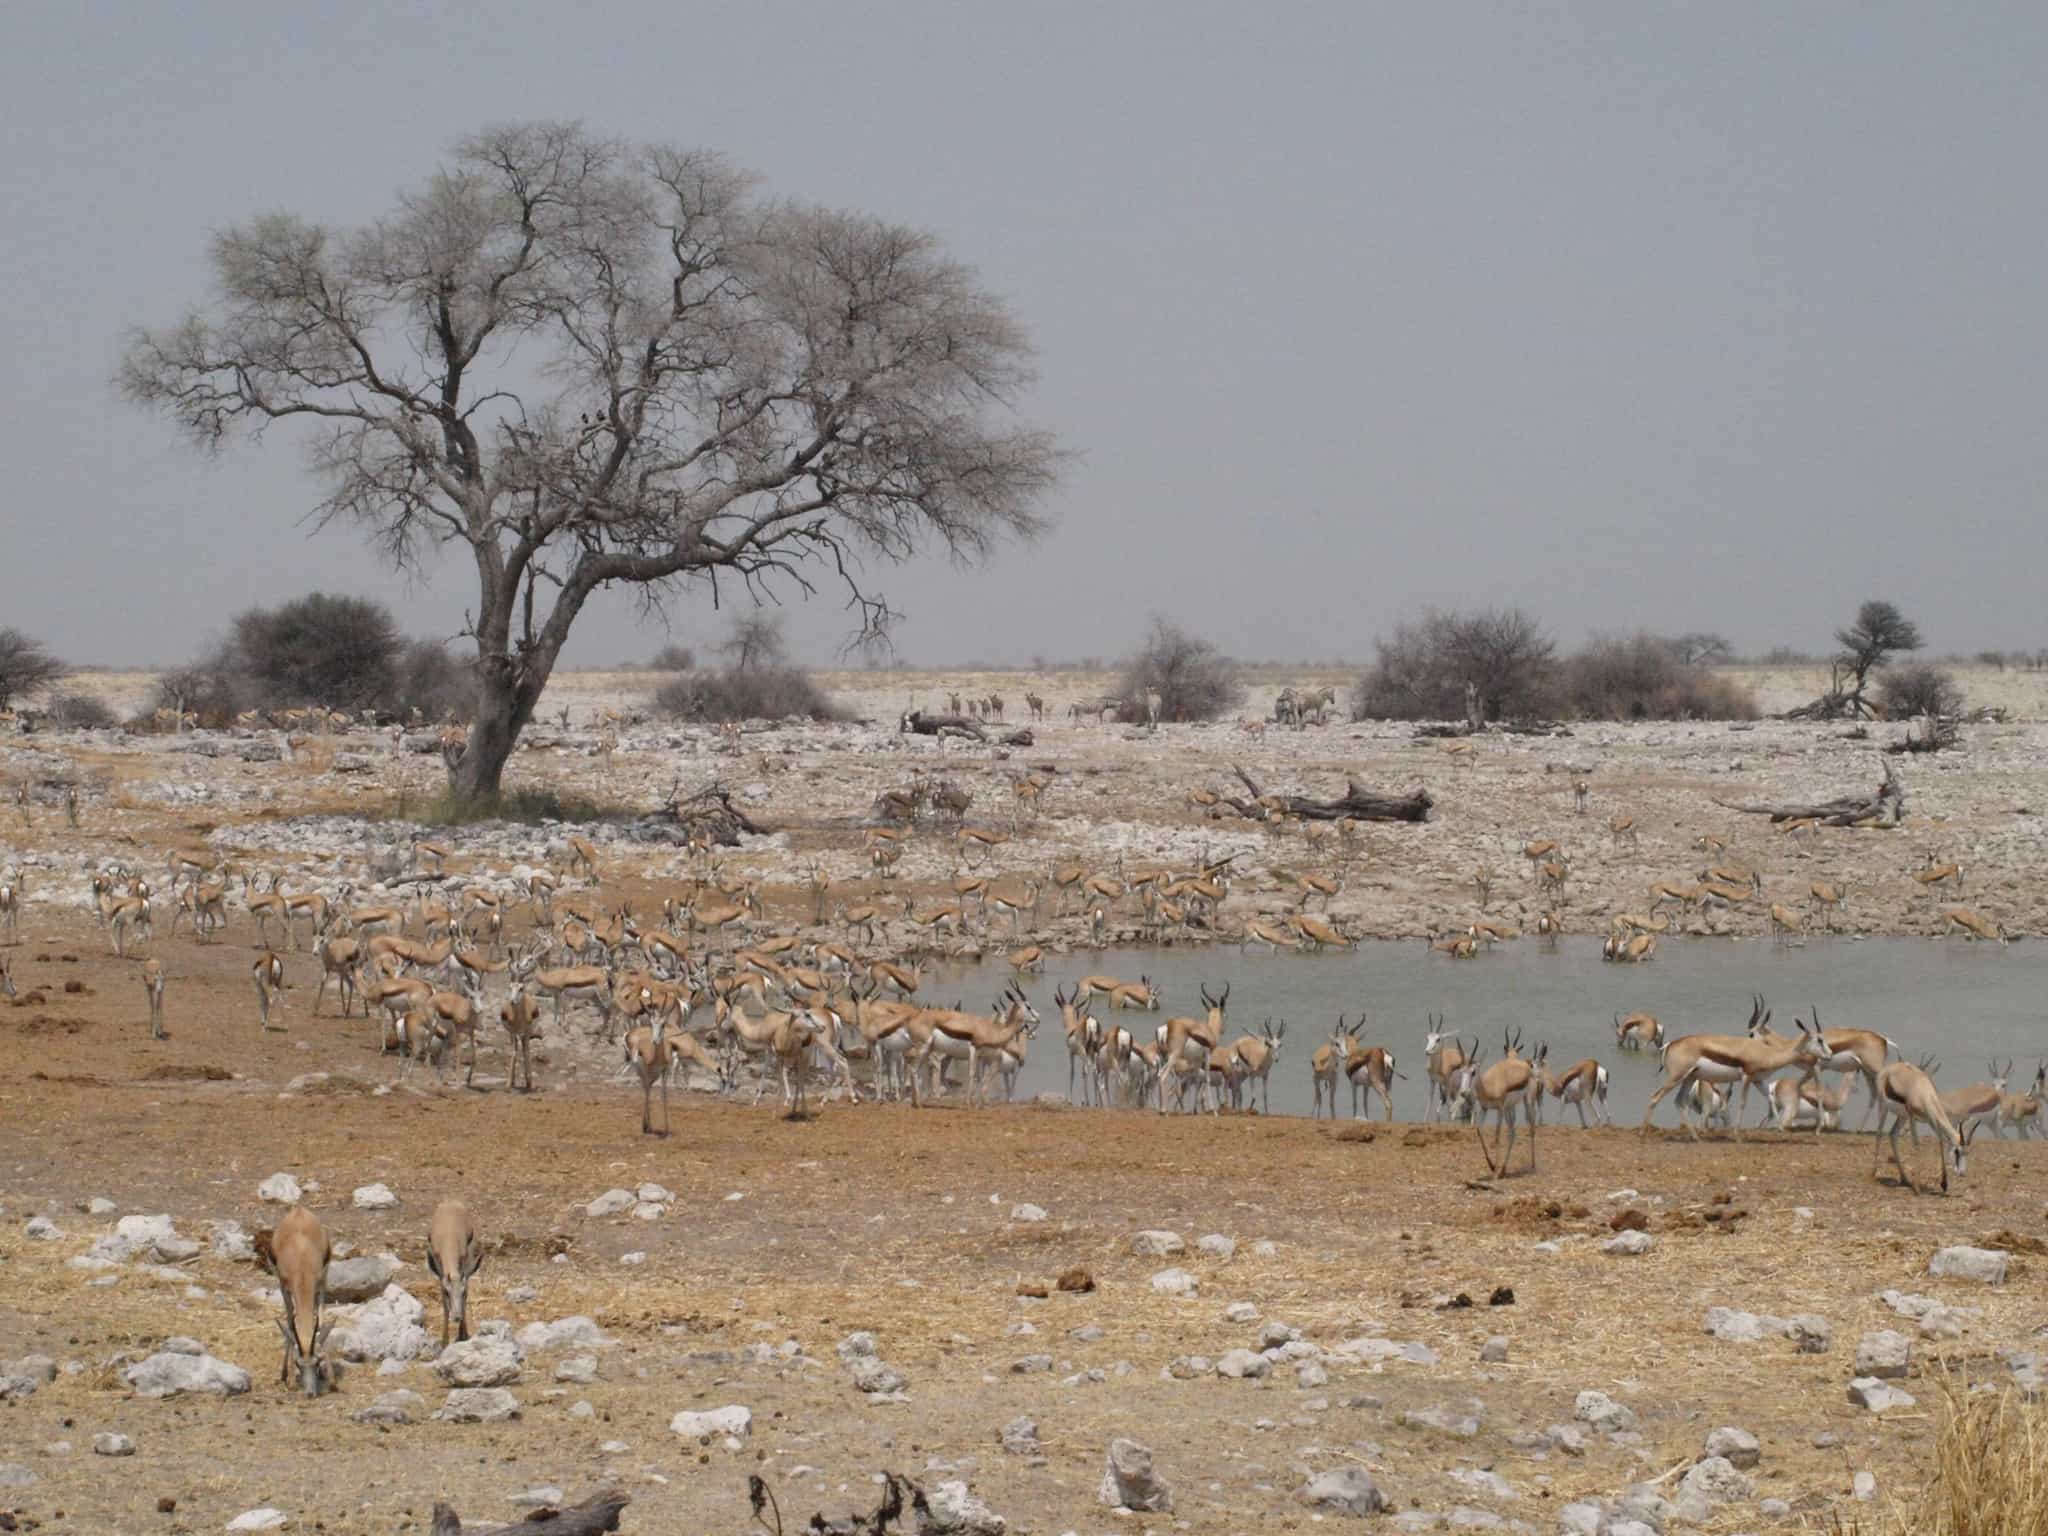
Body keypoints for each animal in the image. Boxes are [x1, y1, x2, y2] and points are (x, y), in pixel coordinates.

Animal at [257, 1205, 333, 1397]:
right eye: (299, 1364)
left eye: (316, 1362)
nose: (310, 1393)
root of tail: (298, 1210)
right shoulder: (284, 1287)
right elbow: (291, 1325)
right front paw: (289, 1378)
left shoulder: (321, 1283)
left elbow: (321, 1324)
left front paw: (330, 1378)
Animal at [426, 1200, 482, 1345]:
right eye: (447, 1292)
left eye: (463, 1292)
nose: (456, 1317)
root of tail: (451, 1202)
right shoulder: (440, 1274)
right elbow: (445, 1307)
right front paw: (444, 1342)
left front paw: (463, 1335)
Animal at [1873, 1060, 1969, 1193]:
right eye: (1956, 1151)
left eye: (1966, 1152)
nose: (1962, 1173)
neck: (1922, 1091)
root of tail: (1887, 1068)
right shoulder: (1912, 1116)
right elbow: (1916, 1143)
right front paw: (1917, 1188)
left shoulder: (1930, 1119)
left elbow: (1940, 1141)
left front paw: (1944, 1184)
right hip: (1884, 1107)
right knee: (1879, 1133)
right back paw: (1873, 1174)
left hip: (1902, 1116)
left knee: (1893, 1135)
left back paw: (1905, 1180)